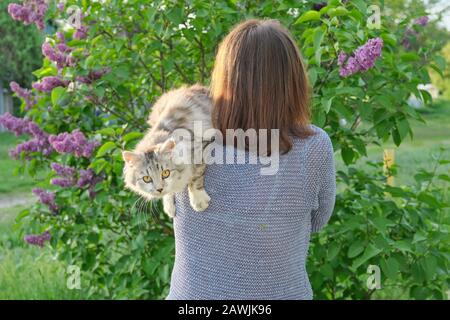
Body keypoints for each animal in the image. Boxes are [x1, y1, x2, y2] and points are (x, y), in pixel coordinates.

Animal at [122, 84, 214, 218]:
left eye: (165, 173)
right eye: (146, 178)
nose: (159, 189)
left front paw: (198, 201)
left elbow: (195, 177)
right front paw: (169, 206)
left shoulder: (199, 148)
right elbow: (169, 192)